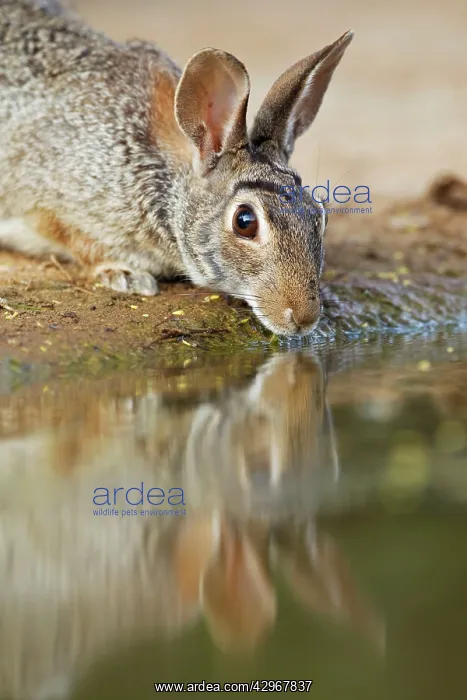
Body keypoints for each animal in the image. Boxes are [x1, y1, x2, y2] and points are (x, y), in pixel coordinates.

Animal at [0, 0, 353, 336]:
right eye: (245, 222)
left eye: (319, 214)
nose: (305, 318)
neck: (166, 183)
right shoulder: (53, 204)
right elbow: (77, 240)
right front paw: (126, 275)